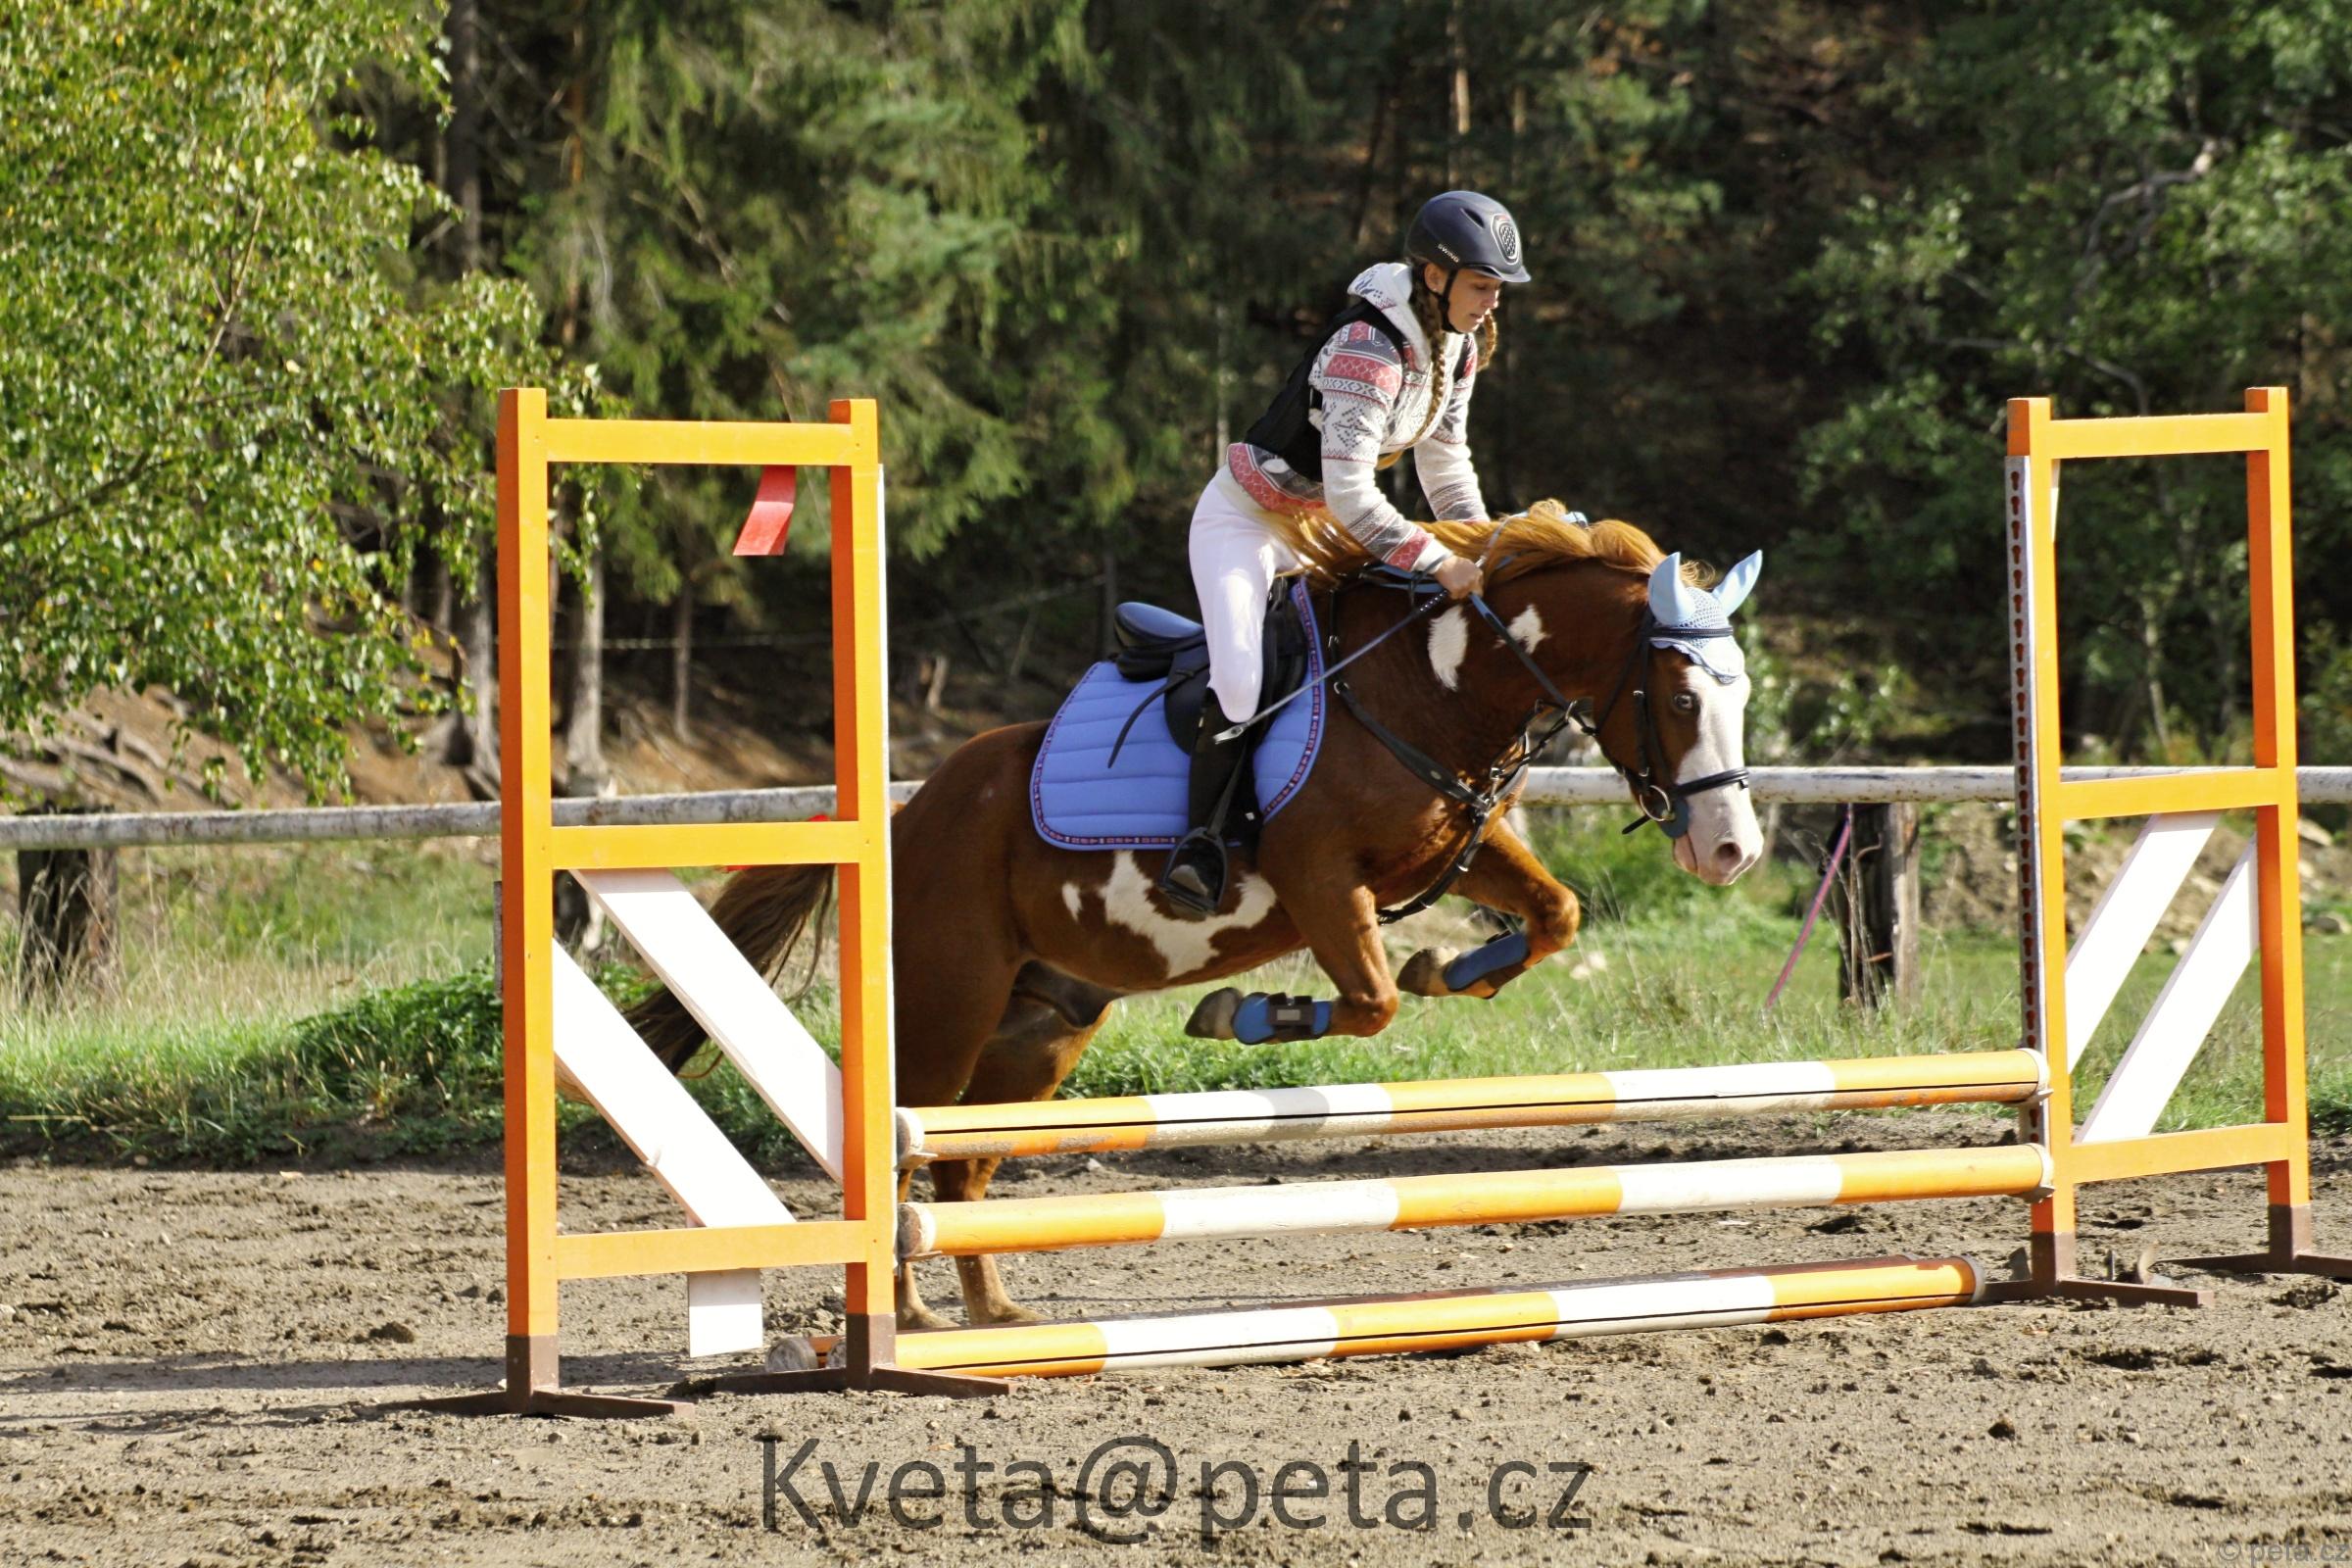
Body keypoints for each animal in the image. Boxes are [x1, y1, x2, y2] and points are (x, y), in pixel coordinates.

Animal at [626, 504, 1765, 1330]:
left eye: (1741, 697)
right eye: (1676, 699)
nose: (1731, 851)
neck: (1432, 689)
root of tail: (909, 814)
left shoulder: (1455, 847)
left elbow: (1551, 913)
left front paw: (1460, 967)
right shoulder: (1319, 881)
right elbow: (1372, 1002)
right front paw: (1249, 1015)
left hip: (1042, 1027)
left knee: (964, 1164)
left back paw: (998, 1316)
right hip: (949, 1006)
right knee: (910, 1145)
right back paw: (908, 1315)